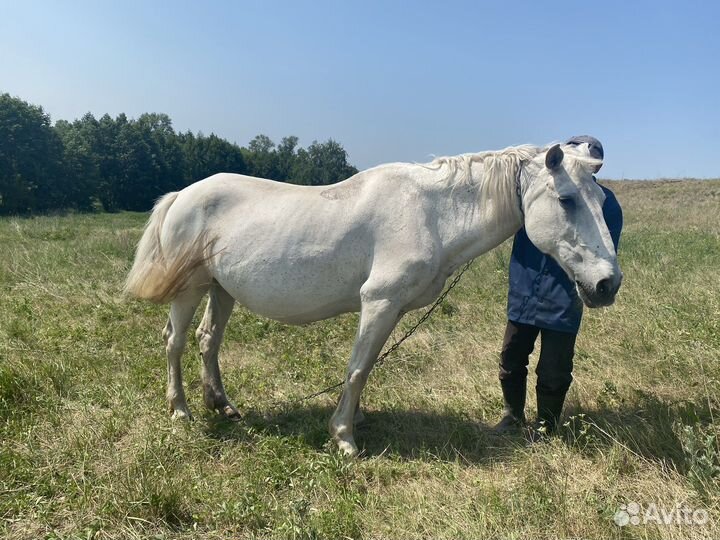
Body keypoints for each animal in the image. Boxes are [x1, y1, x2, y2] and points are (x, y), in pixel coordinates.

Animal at [124, 141, 621, 456]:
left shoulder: (391, 309)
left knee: (208, 341)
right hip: (190, 289)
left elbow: (364, 366)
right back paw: (181, 413)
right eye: (566, 199)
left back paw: (222, 405)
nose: (607, 283)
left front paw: (356, 418)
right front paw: (344, 436)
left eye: (601, 201)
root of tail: (183, 195)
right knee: (175, 343)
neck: (432, 212)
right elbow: (359, 367)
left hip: (221, 289)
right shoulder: (379, 302)